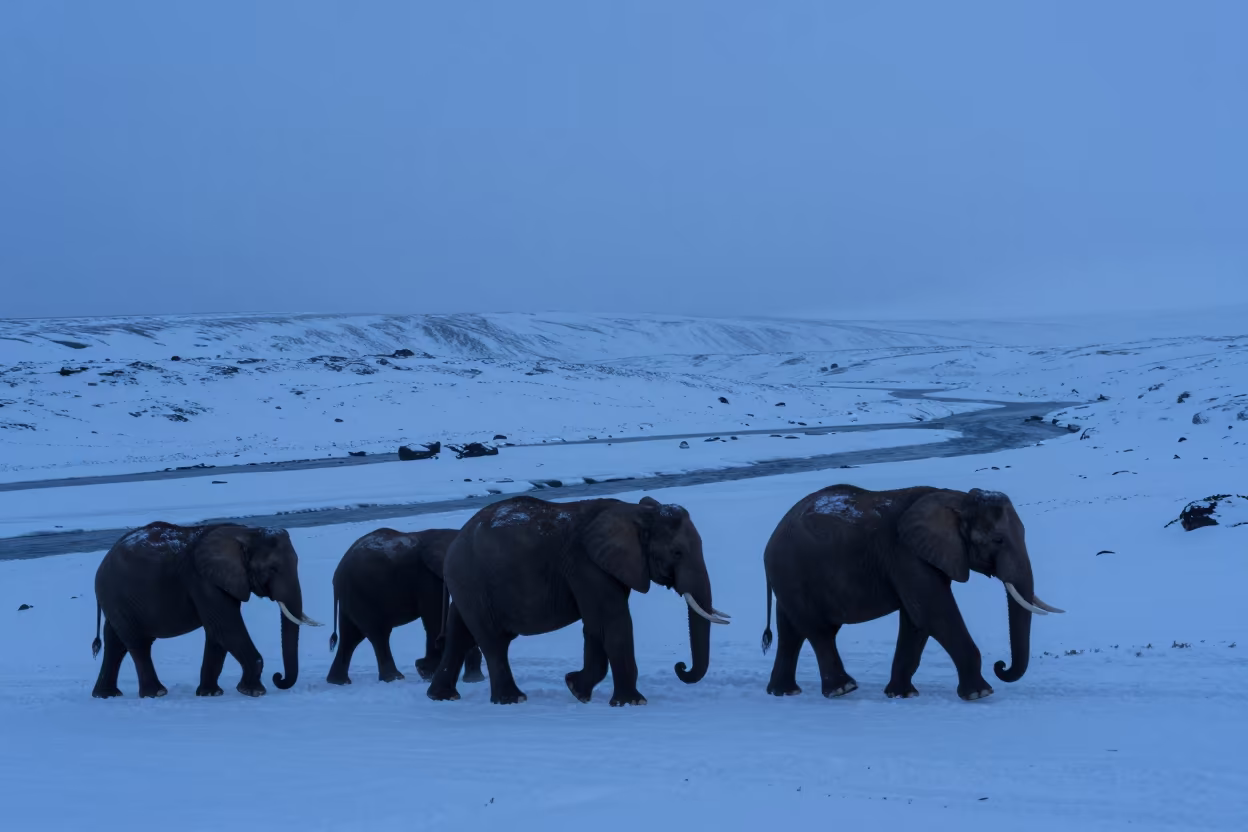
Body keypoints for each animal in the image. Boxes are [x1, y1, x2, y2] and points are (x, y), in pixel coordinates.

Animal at [90, 521, 321, 699]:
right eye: (272, 569)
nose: (278, 677)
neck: (245, 533)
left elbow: (216, 633)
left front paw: (210, 693)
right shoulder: (202, 581)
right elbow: (225, 627)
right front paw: (253, 692)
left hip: (117, 602)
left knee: (115, 642)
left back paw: (106, 695)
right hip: (117, 595)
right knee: (138, 643)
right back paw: (155, 693)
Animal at [326, 527, 484, 685]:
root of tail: (337, 574)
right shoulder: (426, 576)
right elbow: (433, 616)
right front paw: (427, 673)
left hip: (351, 597)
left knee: (350, 636)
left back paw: (338, 681)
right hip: (363, 594)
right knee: (378, 634)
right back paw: (394, 678)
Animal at [426, 494, 730, 706]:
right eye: (677, 552)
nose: (680, 667)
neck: (636, 512)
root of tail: (455, 540)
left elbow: (595, 627)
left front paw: (576, 690)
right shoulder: (587, 565)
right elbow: (612, 622)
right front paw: (633, 703)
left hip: (466, 585)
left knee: (459, 634)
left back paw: (441, 696)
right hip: (473, 582)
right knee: (492, 640)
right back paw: (513, 699)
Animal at [761, 485, 1064, 701]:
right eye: (997, 540)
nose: (1000, 666)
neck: (957, 499)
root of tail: (771, 538)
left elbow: (916, 622)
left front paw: (902, 695)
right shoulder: (906, 555)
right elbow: (935, 614)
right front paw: (980, 693)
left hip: (789, 578)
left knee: (791, 631)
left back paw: (784, 692)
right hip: (792, 571)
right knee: (818, 630)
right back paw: (842, 689)